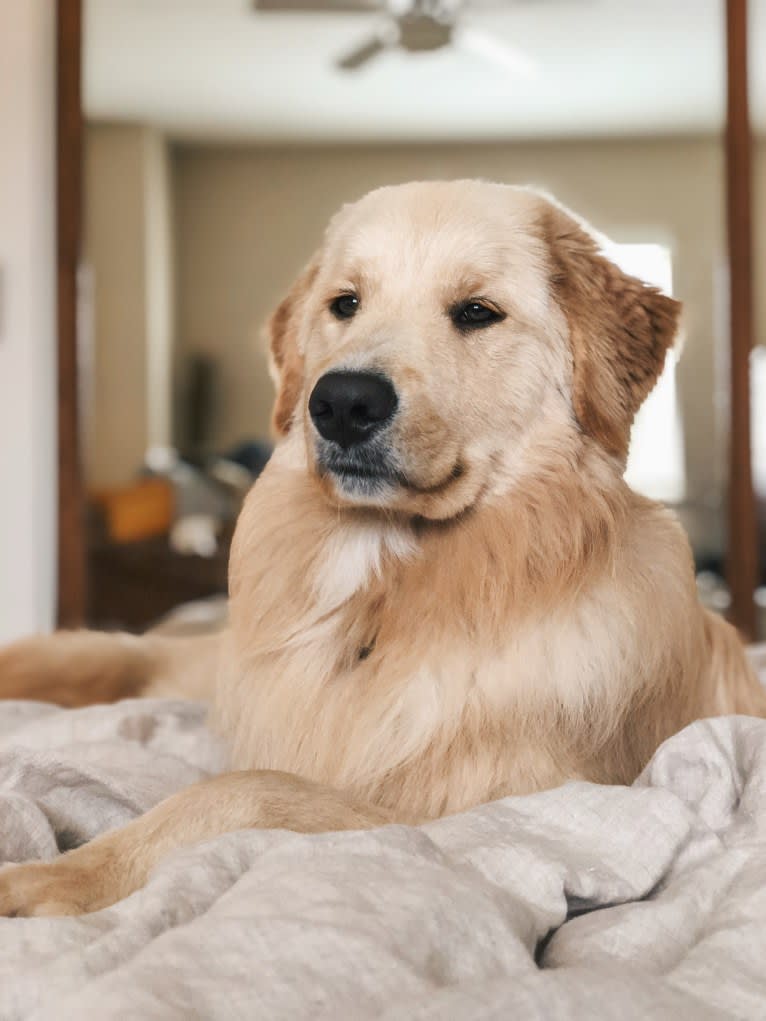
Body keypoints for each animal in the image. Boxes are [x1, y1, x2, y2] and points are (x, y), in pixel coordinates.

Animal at [1, 181, 766, 918]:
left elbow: (243, 788)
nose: (341, 403)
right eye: (346, 303)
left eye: (477, 312)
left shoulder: (504, 821)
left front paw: (61, 874)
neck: (384, 587)